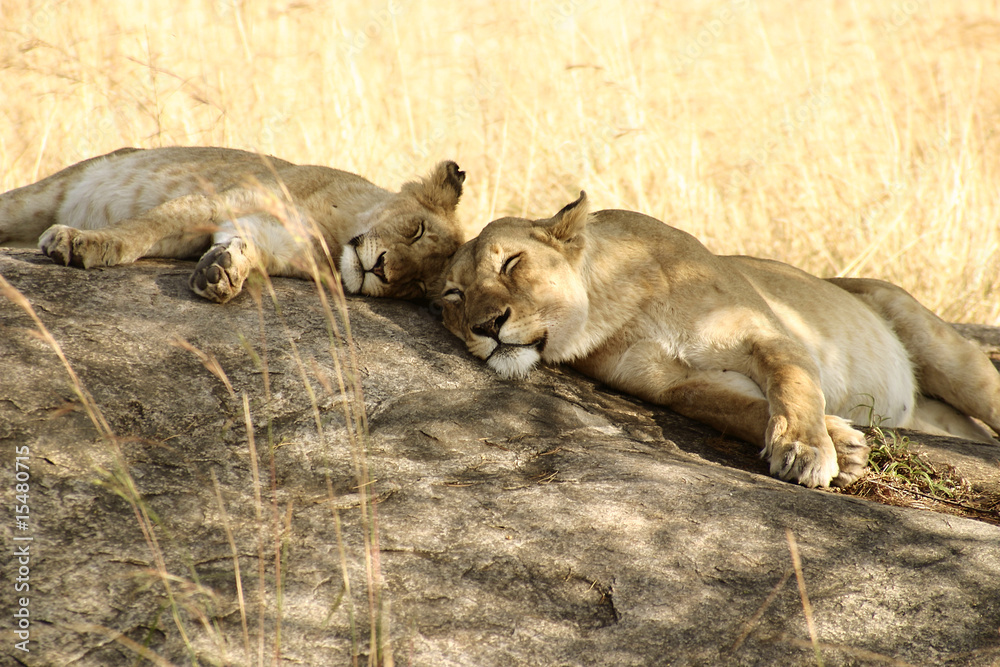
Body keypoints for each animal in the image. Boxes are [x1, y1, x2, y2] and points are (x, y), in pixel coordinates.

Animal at [0, 146, 465, 303]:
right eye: (416, 230)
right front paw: (82, 241)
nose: (382, 269)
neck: (332, 237)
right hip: (36, 197)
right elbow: (140, 230)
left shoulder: (262, 235)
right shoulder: (215, 200)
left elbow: (247, 250)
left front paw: (222, 272)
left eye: (417, 286)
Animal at [435, 192, 1000, 488]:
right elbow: (743, 410)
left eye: (511, 263)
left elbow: (793, 388)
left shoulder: (768, 333)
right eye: (454, 296)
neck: (619, 306)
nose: (487, 326)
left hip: (934, 340)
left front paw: (805, 449)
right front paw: (841, 443)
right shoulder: (676, 387)